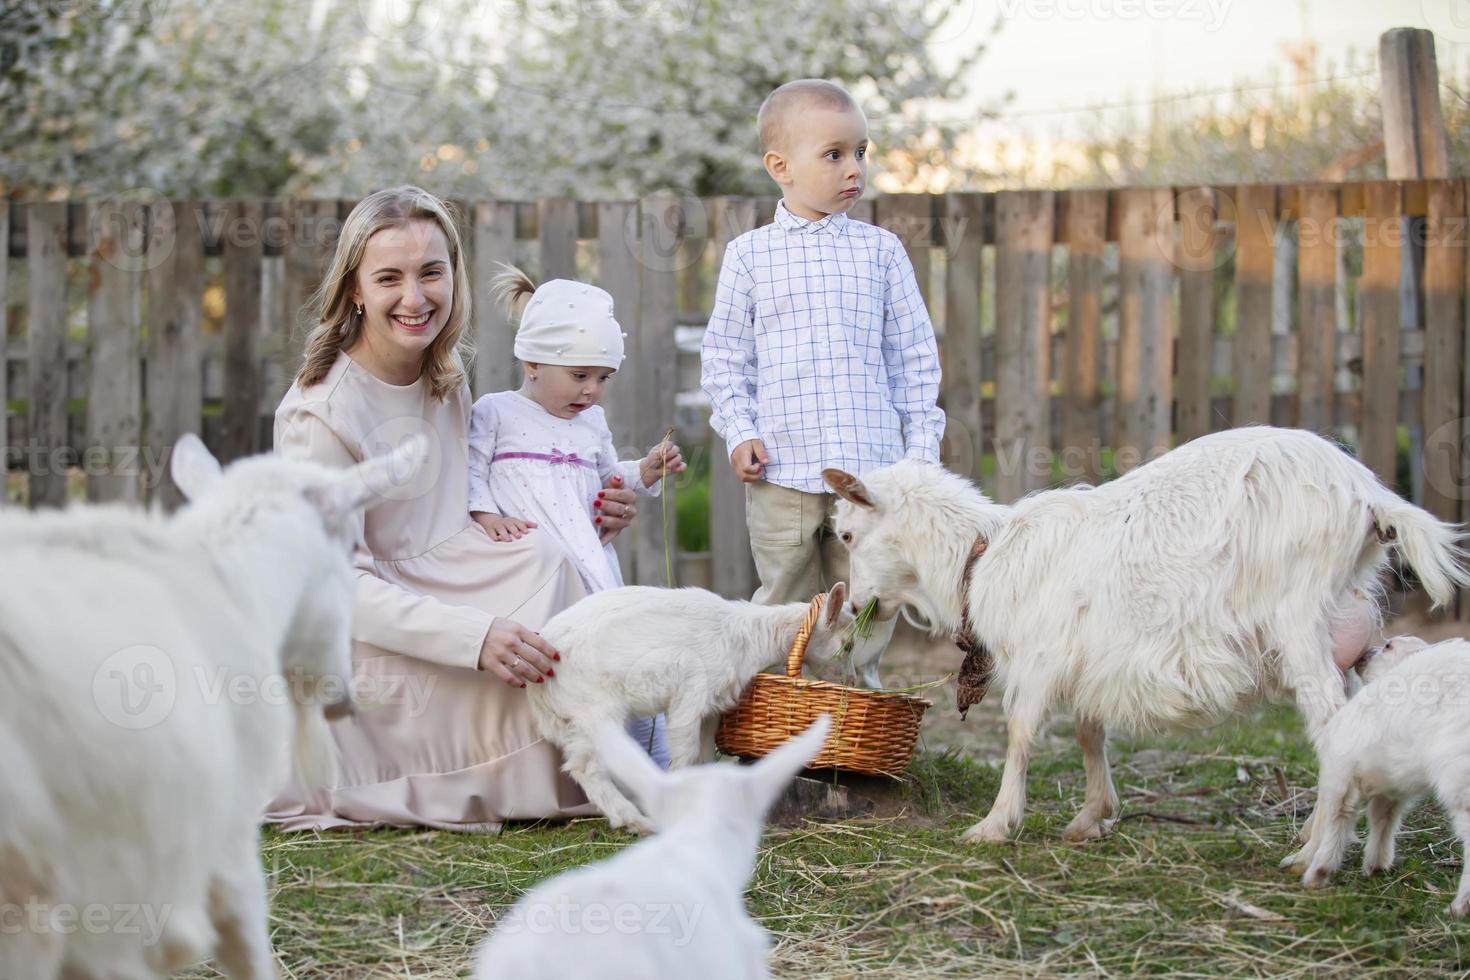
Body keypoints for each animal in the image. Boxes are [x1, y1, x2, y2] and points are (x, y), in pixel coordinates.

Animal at [529, 581, 852, 834]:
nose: (851, 680)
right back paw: (639, 822)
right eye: (847, 646)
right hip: (595, 708)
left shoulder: (711, 710)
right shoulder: (690, 694)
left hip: (574, 719)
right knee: (587, 767)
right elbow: (686, 754)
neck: (745, 637)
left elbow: (705, 755)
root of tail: (539, 687)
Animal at [829, 426, 1470, 846]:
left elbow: (1019, 735)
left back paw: (1313, 837)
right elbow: (1089, 732)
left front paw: (994, 824)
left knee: (1331, 723)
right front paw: (1093, 815)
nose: (855, 605)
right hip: (1344, 630)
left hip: (1299, 621)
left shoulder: (1039, 658)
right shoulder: (1086, 657)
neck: (982, 557)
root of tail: (1370, 497)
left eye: (846, 534)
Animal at [1281, 637, 1470, 922]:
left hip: (1459, 778)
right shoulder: (1390, 786)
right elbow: (1383, 821)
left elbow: (1335, 822)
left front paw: (1315, 872)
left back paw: (1459, 907)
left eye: (1389, 646)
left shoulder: (1340, 771)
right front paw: (1376, 865)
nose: (1364, 654)